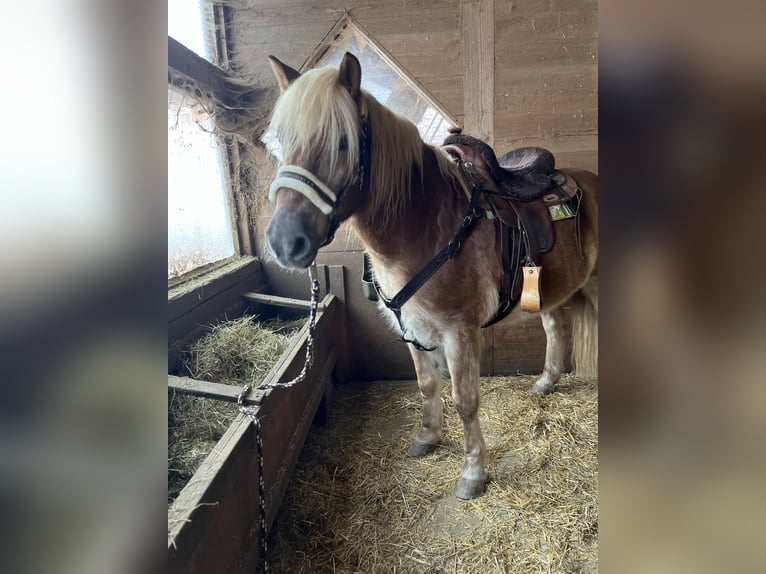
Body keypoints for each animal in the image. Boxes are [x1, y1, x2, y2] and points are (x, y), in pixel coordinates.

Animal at [266, 53, 600, 500]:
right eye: (280, 141)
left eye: (342, 143)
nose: (285, 242)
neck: (427, 226)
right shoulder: (413, 329)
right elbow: (427, 385)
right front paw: (427, 437)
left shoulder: (459, 333)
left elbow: (465, 400)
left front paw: (473, 473)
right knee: (555, 328)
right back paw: (546, 383)